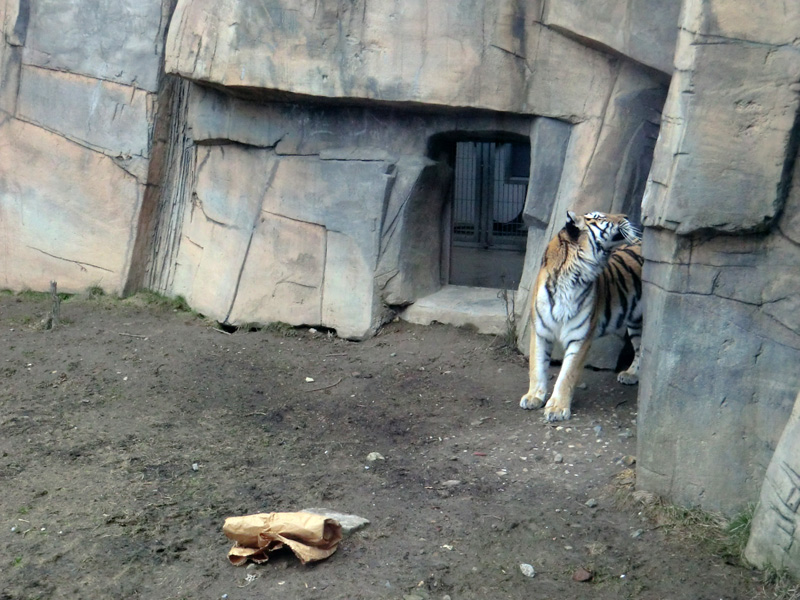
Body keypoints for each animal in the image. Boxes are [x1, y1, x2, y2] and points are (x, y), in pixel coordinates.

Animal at [520, 211, 644, 422]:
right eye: (600, 217)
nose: (626, 216)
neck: (571, 277)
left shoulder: (580, 337)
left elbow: (566, 375)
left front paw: (557, 408)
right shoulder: (541, 332)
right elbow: (537, 367)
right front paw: (534, 397)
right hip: (635, 322)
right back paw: (631, 374)